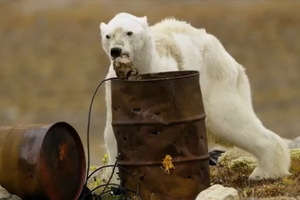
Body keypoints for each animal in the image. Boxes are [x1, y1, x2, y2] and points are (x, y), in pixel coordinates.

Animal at [100, 12, 290, 181]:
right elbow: (114, 134)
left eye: (129, 32)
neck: (143, 67)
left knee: (229, 120)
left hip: (216, 81)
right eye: (108, 36)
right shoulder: (115, 93)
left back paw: (264, 173)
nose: (115, 50)